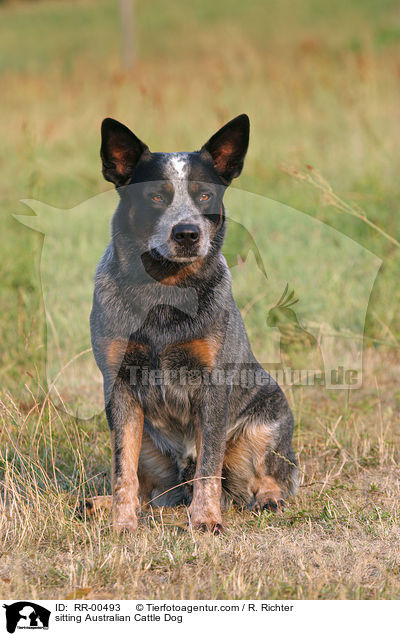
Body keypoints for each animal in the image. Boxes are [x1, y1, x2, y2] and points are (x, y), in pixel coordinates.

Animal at [90, 113, 296, 532]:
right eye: (156, 197)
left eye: (204, 196)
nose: (187, 233)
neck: (164, 293)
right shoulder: (119, 385)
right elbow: (122, 469)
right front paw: (122, 524)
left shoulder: (212, 384)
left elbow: (208, 466)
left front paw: (205, 521)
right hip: (149, 445)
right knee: (145, 487)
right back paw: (101, 504)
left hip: (267, 421)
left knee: (270, 473)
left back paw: (269, 498)